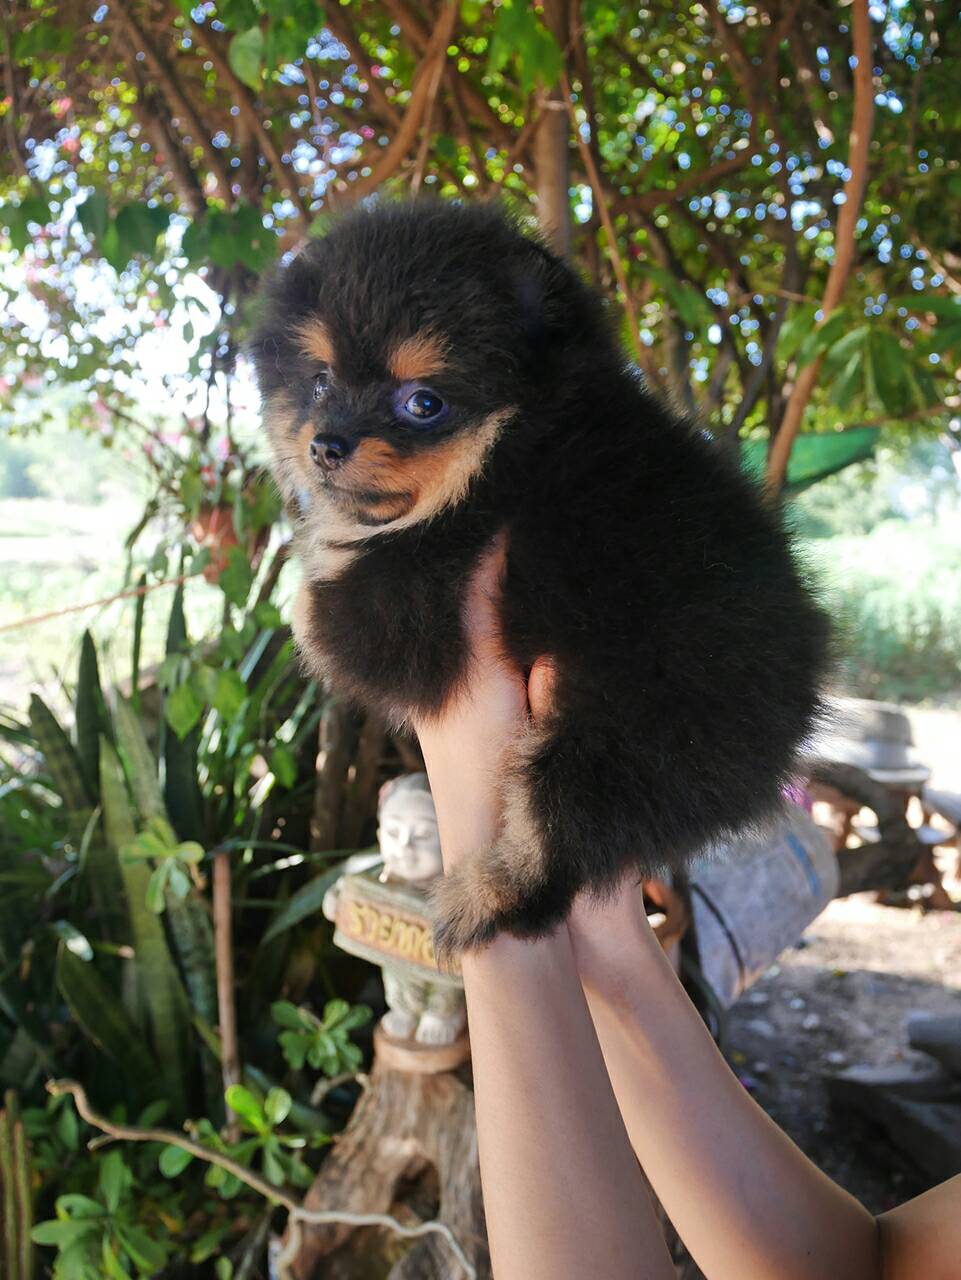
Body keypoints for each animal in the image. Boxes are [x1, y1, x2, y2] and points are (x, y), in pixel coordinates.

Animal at [251, 199, 829, 957]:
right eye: (318, 380)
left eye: (423, 403)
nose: (325, 443)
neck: (509, 453)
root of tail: (792, 722)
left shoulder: (426, 609)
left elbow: (317, 610)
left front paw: (306, 581)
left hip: (624, 724)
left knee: (561, 838)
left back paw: (483, 899)